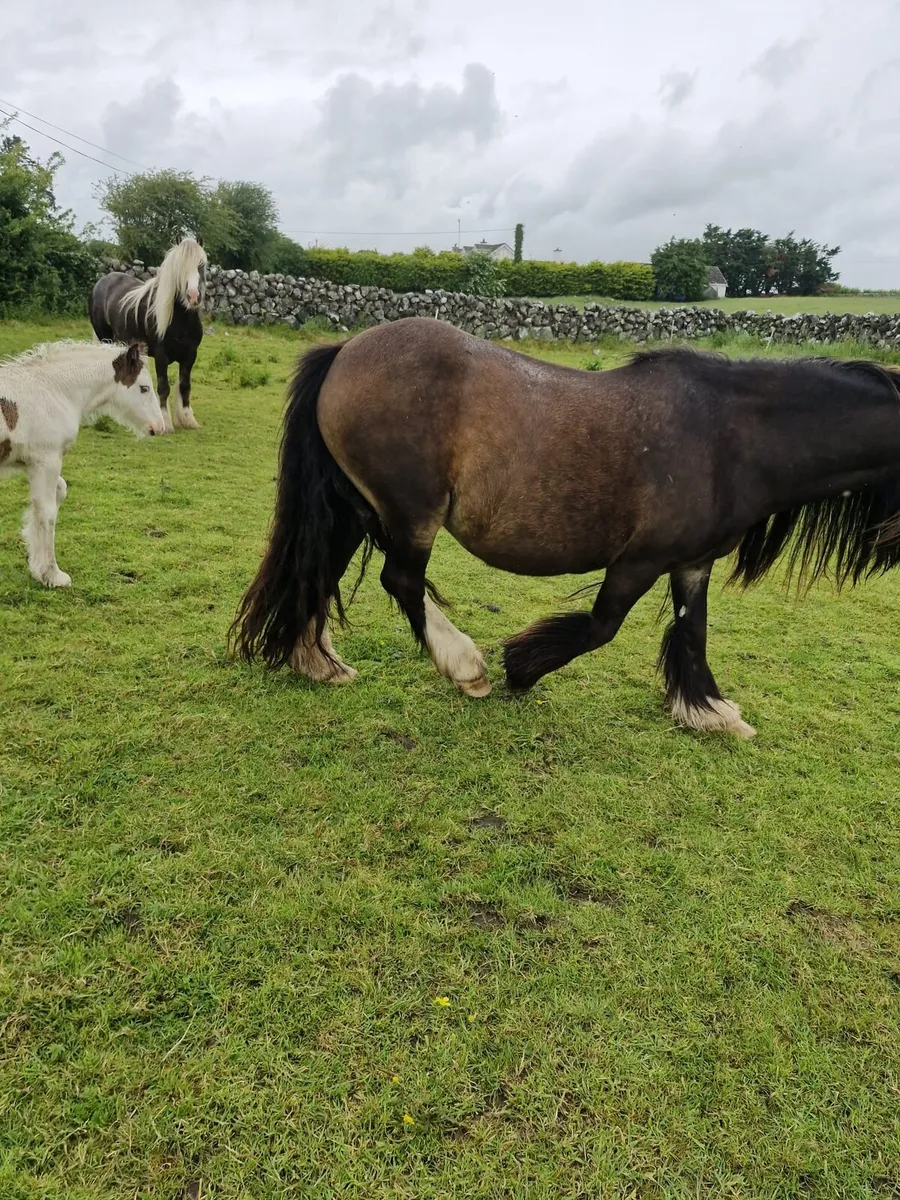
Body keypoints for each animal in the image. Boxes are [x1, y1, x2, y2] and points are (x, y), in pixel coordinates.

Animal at [0, 340, 163, 588]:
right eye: (144, 388)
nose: (159, 427)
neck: (53, 391)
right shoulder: (47, 459)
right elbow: (47, 512)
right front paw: (53, 575)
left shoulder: (33, 463)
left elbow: (55, 494)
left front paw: (37, 567)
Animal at [88, 237, 207, 434]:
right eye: (179, 266)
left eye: (201, 265)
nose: (193, 296)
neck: (180, 319)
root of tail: (102, 281)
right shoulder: (161, 356)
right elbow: (164, 387)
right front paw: (166, 423)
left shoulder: (191, 355)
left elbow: (185, 386)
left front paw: (187, 419)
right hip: (105, 338)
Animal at [229, 317, 900, 739]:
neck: (730, 434)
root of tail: (344, 350)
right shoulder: (639, 559)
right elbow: (601, 627)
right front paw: (520, 668)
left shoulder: (692, 560)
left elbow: (694, 632)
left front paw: (709, 710)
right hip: (410, 513)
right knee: (401, 580)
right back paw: (464, 666)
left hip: (351, 508)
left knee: (318, 572)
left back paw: (316, 663)